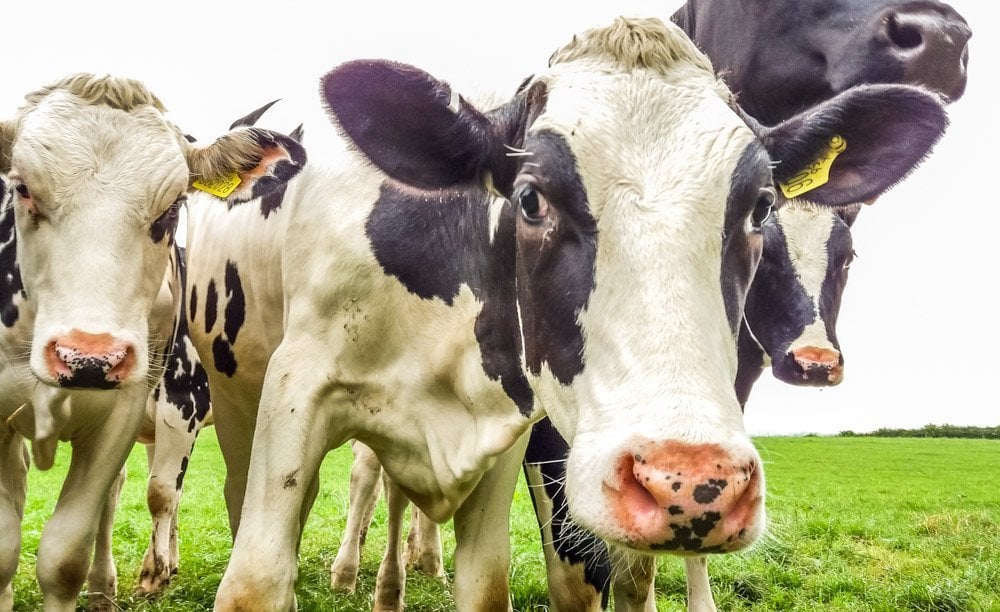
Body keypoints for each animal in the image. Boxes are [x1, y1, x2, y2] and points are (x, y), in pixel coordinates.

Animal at [0, 75, 304, 612]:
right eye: (21, 188)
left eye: (173, 206)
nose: (88, 356)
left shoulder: (170, 405)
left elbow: (150, 498)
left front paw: (153, 573)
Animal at [184, 16, 948, 608]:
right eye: (530, 198)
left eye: (760, 207)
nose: (688, 481)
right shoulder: (299, 391)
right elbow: (254, 581)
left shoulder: (503, 436)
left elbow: (500, 588)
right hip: (239, 399)